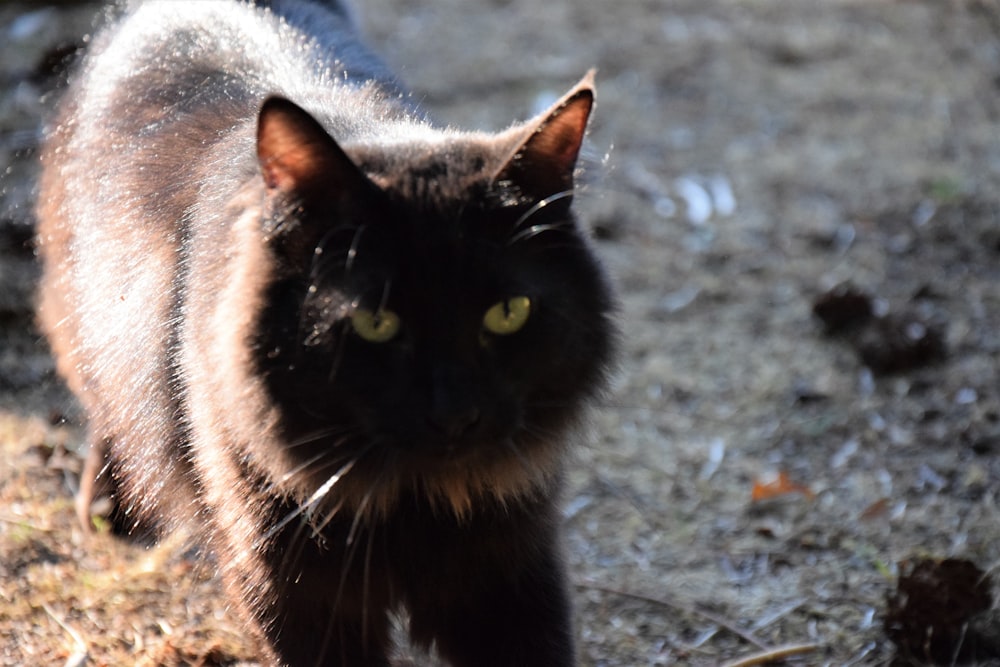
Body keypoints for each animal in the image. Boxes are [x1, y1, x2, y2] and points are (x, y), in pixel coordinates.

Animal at [35, 1, 612, 667]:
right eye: (375, 322)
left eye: (508, 313)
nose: (456, 415)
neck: (413, 498)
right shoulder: (291, 583)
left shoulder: (511, 573)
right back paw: (110, 508)